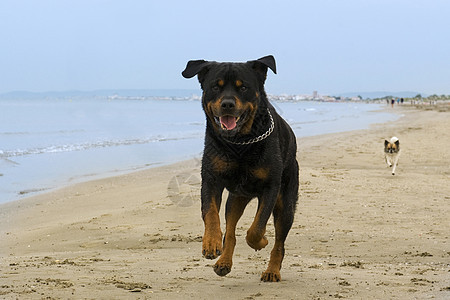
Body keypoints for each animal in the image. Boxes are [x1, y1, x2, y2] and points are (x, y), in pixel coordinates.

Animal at [181, 55, 298, 282]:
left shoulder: (271, 187)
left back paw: (272, 270)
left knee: (280, 242)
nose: (227, 104)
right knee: (231, 230)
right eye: (215, 87)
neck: (240, 144)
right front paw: (211, 242)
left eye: (243, 87)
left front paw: (261, 241)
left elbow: (257, 227)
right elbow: (210, 212)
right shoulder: (211, 179)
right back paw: (224, 262)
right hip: (236, 199)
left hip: (286, 202)